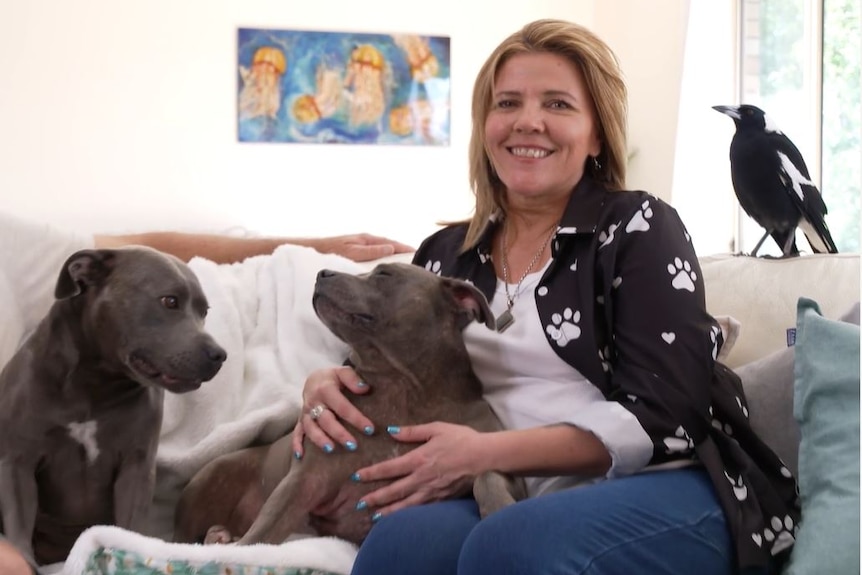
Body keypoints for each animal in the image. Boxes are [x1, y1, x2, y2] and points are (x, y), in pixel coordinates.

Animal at [0, 248, 226, 568]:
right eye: (170, 301)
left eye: (204, 311)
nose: (219, 354)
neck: (93, 385)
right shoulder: (18, 464)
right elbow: (19, 536)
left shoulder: (135, 466)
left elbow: (128, 529)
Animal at [174, 264, 528, 548]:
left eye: (384, 274)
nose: (323, 273)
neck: (402, 389)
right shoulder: (305, 479)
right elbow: (263, 533)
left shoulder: (490, 458)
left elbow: (487, 477)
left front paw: (500, 510)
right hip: (211, 475)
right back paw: (217, 537)